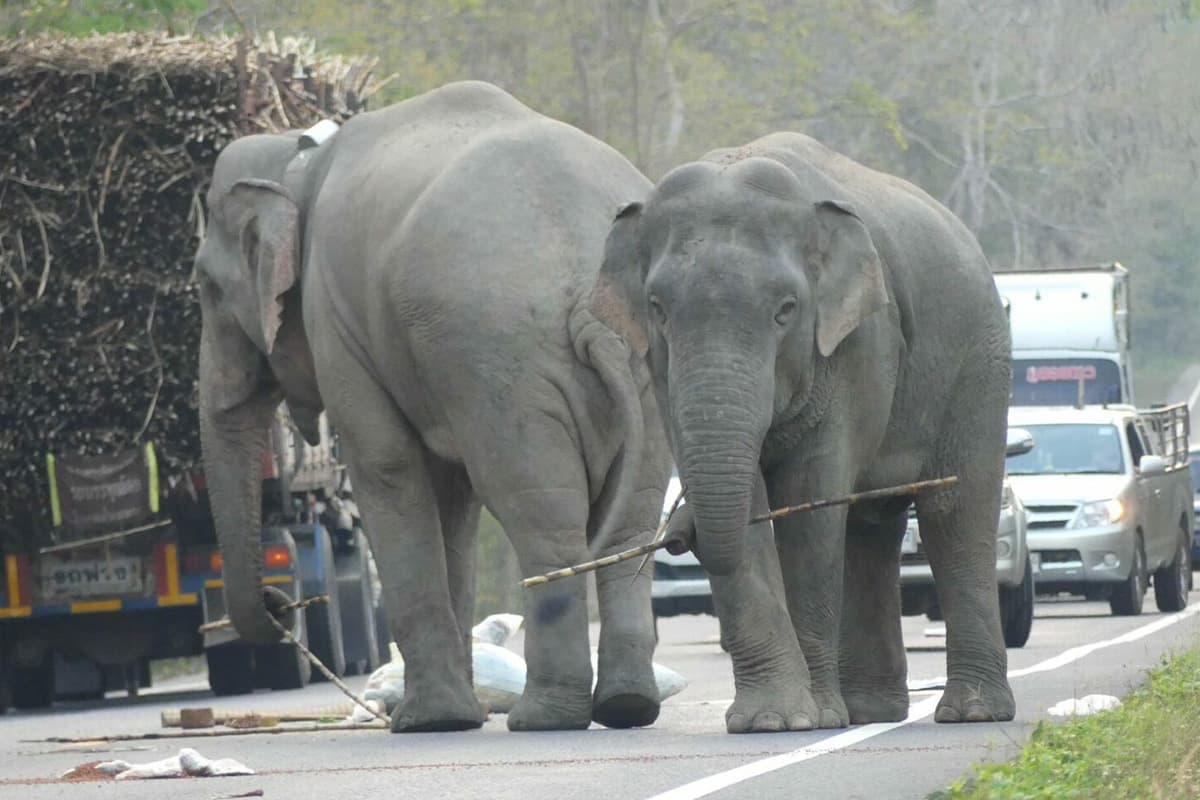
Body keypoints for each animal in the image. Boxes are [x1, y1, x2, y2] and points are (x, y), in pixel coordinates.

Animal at [194, 81, 672, 733]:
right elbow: (452, 498)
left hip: (501, 361)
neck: (297, 157)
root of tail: (591, 307)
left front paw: (426, 722)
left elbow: (387, 467)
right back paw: (627, 706)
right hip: (644, 367)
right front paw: (456, 715)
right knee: (631, 522)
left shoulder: (337, 320)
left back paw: (541, 717)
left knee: (540, 512)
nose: (278, 602)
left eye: (204, 287)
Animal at [590, 132, 1014, 733]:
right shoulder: (661, 371)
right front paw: (771, 721)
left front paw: (805, 719)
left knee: (955, 514)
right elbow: (752, 504)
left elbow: (809, 502)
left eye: (786, 310)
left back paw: (971, 713)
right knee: (871, 527)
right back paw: (870, 712)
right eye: (658, 309)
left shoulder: (857, 345)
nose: (677, 535)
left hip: (979, 365)